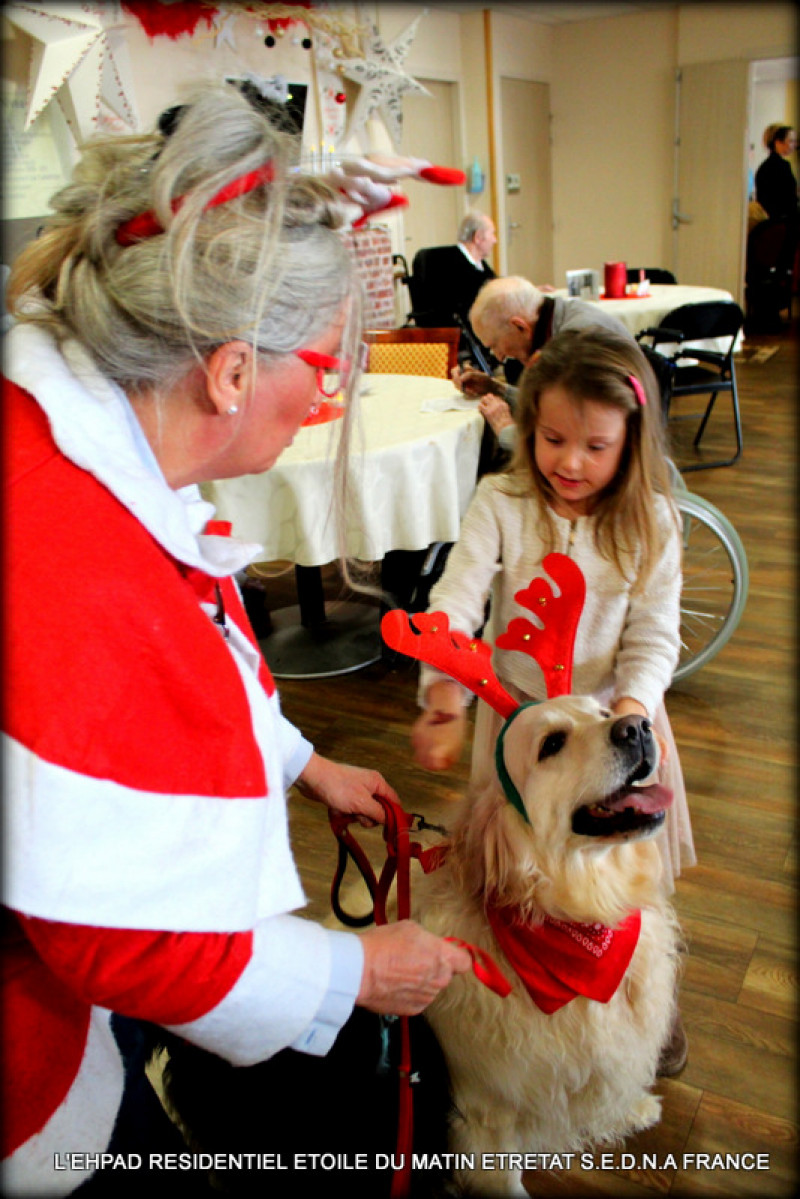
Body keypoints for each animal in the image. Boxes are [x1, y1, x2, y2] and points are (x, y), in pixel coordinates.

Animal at [412, 695, 681, 1199]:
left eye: (604, 712)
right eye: (552, 744)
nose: (637, 726)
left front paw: (633, 1108)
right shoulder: (486, 1109)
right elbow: (502, 1174)